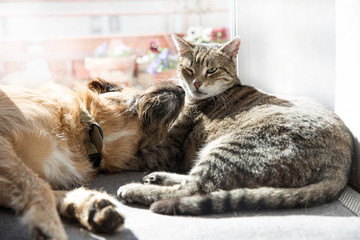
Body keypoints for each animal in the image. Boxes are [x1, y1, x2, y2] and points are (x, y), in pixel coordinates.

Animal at [0, 78, 184, 239]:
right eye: (137, 90)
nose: (183, 89)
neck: (90, 136)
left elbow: (44, 189)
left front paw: (87, 205)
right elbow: (39, 186)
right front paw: (50, 225)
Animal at [116, 34, 352, 216]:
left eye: (211, 70)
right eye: (189, 69)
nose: (196, 83)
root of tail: (341, 167)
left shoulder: (170, 147)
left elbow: (135, 156)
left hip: (230, 149)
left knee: (193, 189)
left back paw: (134, 189)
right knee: (193, 181)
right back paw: (158, 176)